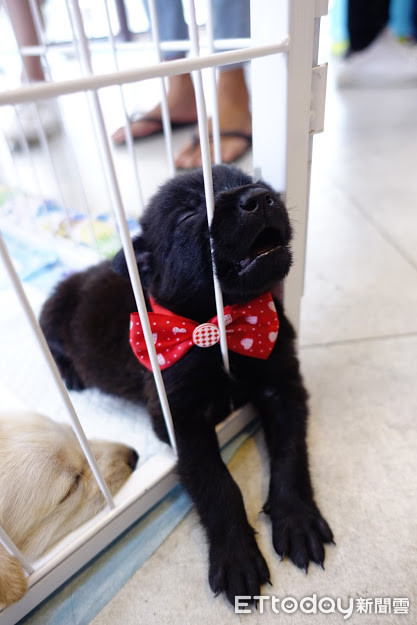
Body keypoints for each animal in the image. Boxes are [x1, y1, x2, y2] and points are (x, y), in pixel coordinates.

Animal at [39, 165, 332, 604]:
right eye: (189, 214)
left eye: (249, 180)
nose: (260, 197)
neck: (222, 325)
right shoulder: (180, 418)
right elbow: (217, 483)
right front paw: (237, 555)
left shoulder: (283, 386)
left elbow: (290, 455)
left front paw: (296, 518)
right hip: (53, 313)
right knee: (53, 346)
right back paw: (71, 374)